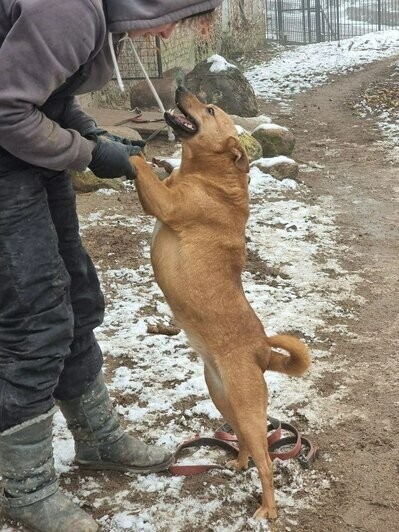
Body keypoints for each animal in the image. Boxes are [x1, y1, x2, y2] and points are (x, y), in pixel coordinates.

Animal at [133, 87, 310, 520]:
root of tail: (264, 352)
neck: (205, 173)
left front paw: (118, 148)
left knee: (267, 461)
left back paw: (267, 510)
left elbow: (137, 163)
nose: (181, 88)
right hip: (223, 400)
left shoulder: (165, 204)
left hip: (246, 408)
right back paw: (236, 462)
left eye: (210, 109)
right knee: (245, 443)